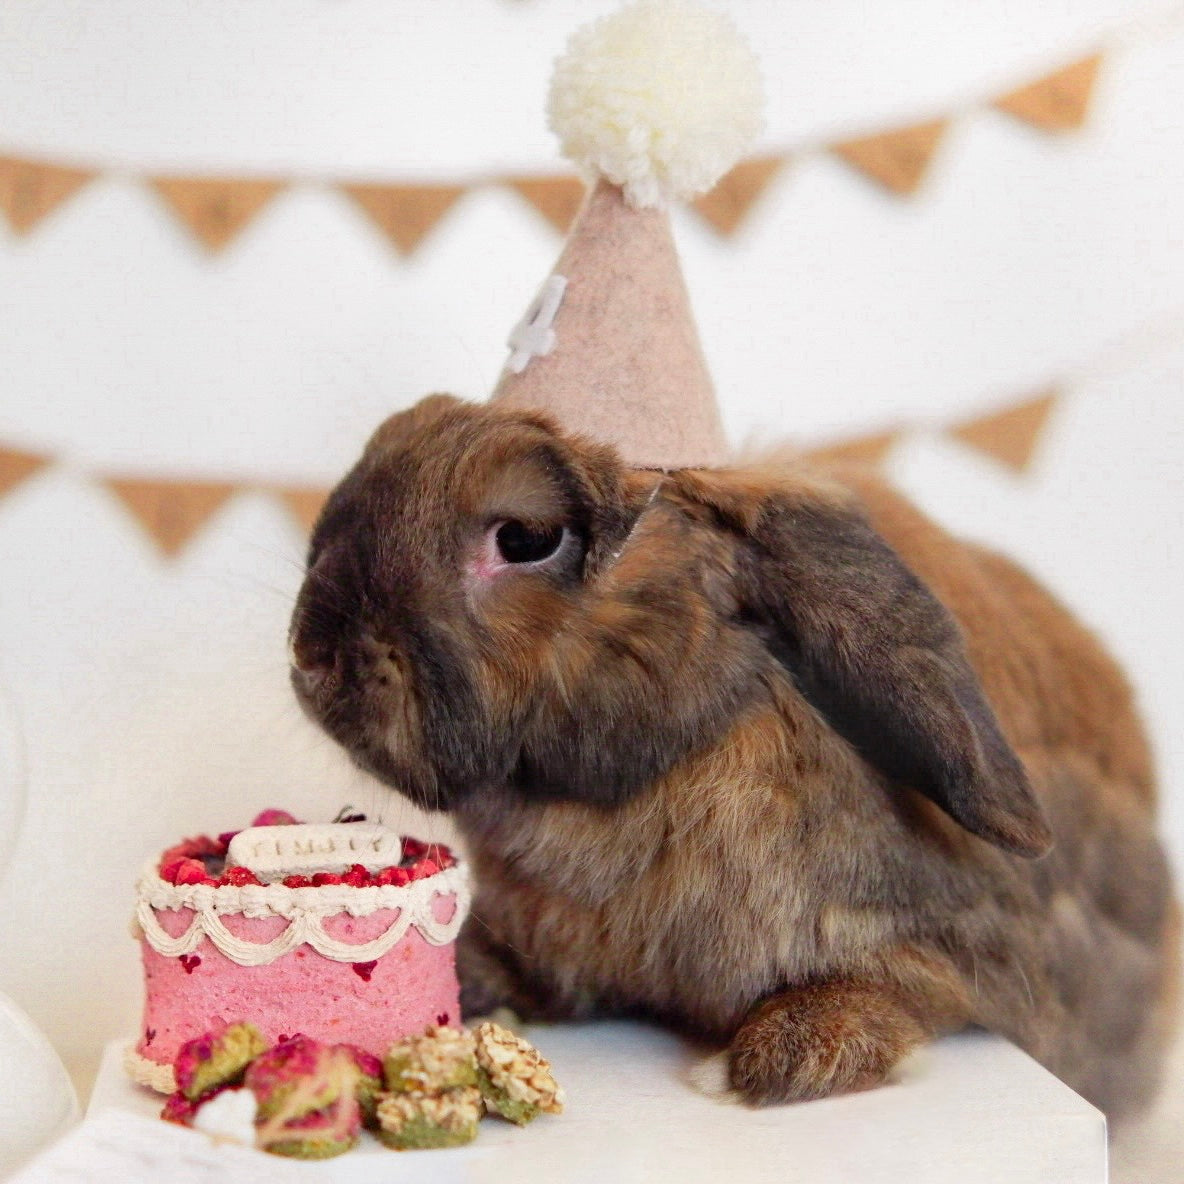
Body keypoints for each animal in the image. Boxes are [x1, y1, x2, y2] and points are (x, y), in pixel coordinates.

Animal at [288, 390, 1174, 1117]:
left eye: (528, 538)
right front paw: (467, 976)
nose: (311, 656)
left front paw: (786, 1057)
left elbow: (903, 987)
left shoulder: (960, 943)